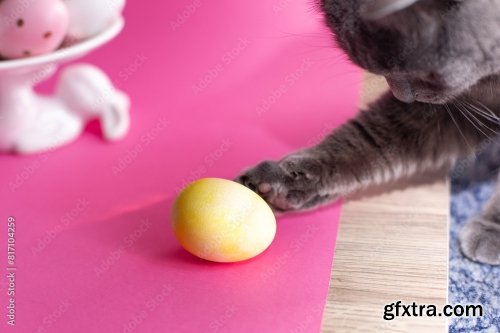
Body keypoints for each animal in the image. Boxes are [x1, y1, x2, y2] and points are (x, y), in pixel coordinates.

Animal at [236, 0, 500, 264]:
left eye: (424, 73)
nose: (402, 96)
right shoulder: (461, 106)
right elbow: (369, 137)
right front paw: (280, 182)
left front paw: (490, 228)